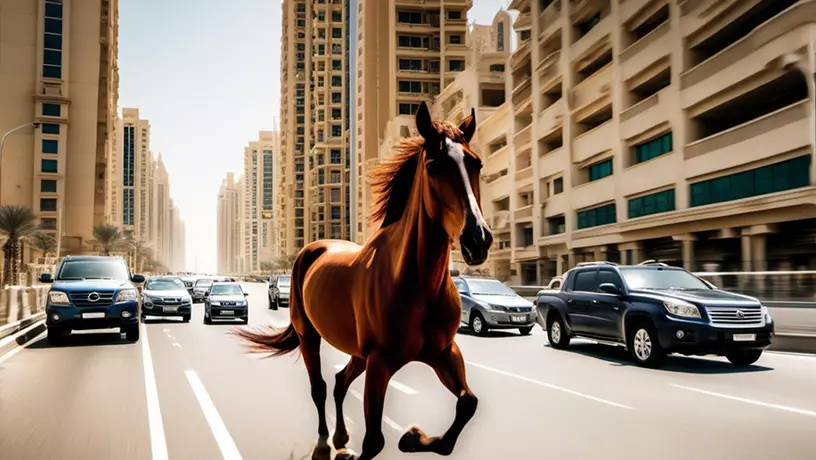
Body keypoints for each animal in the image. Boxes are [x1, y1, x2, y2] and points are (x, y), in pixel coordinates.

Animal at [232, 101, 493, 460]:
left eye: (475, 163)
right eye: (433, 166)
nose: (478, 239)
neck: (414, 284)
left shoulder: (443, 353)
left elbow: (468, 404)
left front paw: (413, 437)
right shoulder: (380, 362)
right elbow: (374, 441)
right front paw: (391, 441)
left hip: (357, 354)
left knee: (340, 382)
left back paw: (342, 437)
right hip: (309, 336)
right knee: (320, 387)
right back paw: (325, 442)